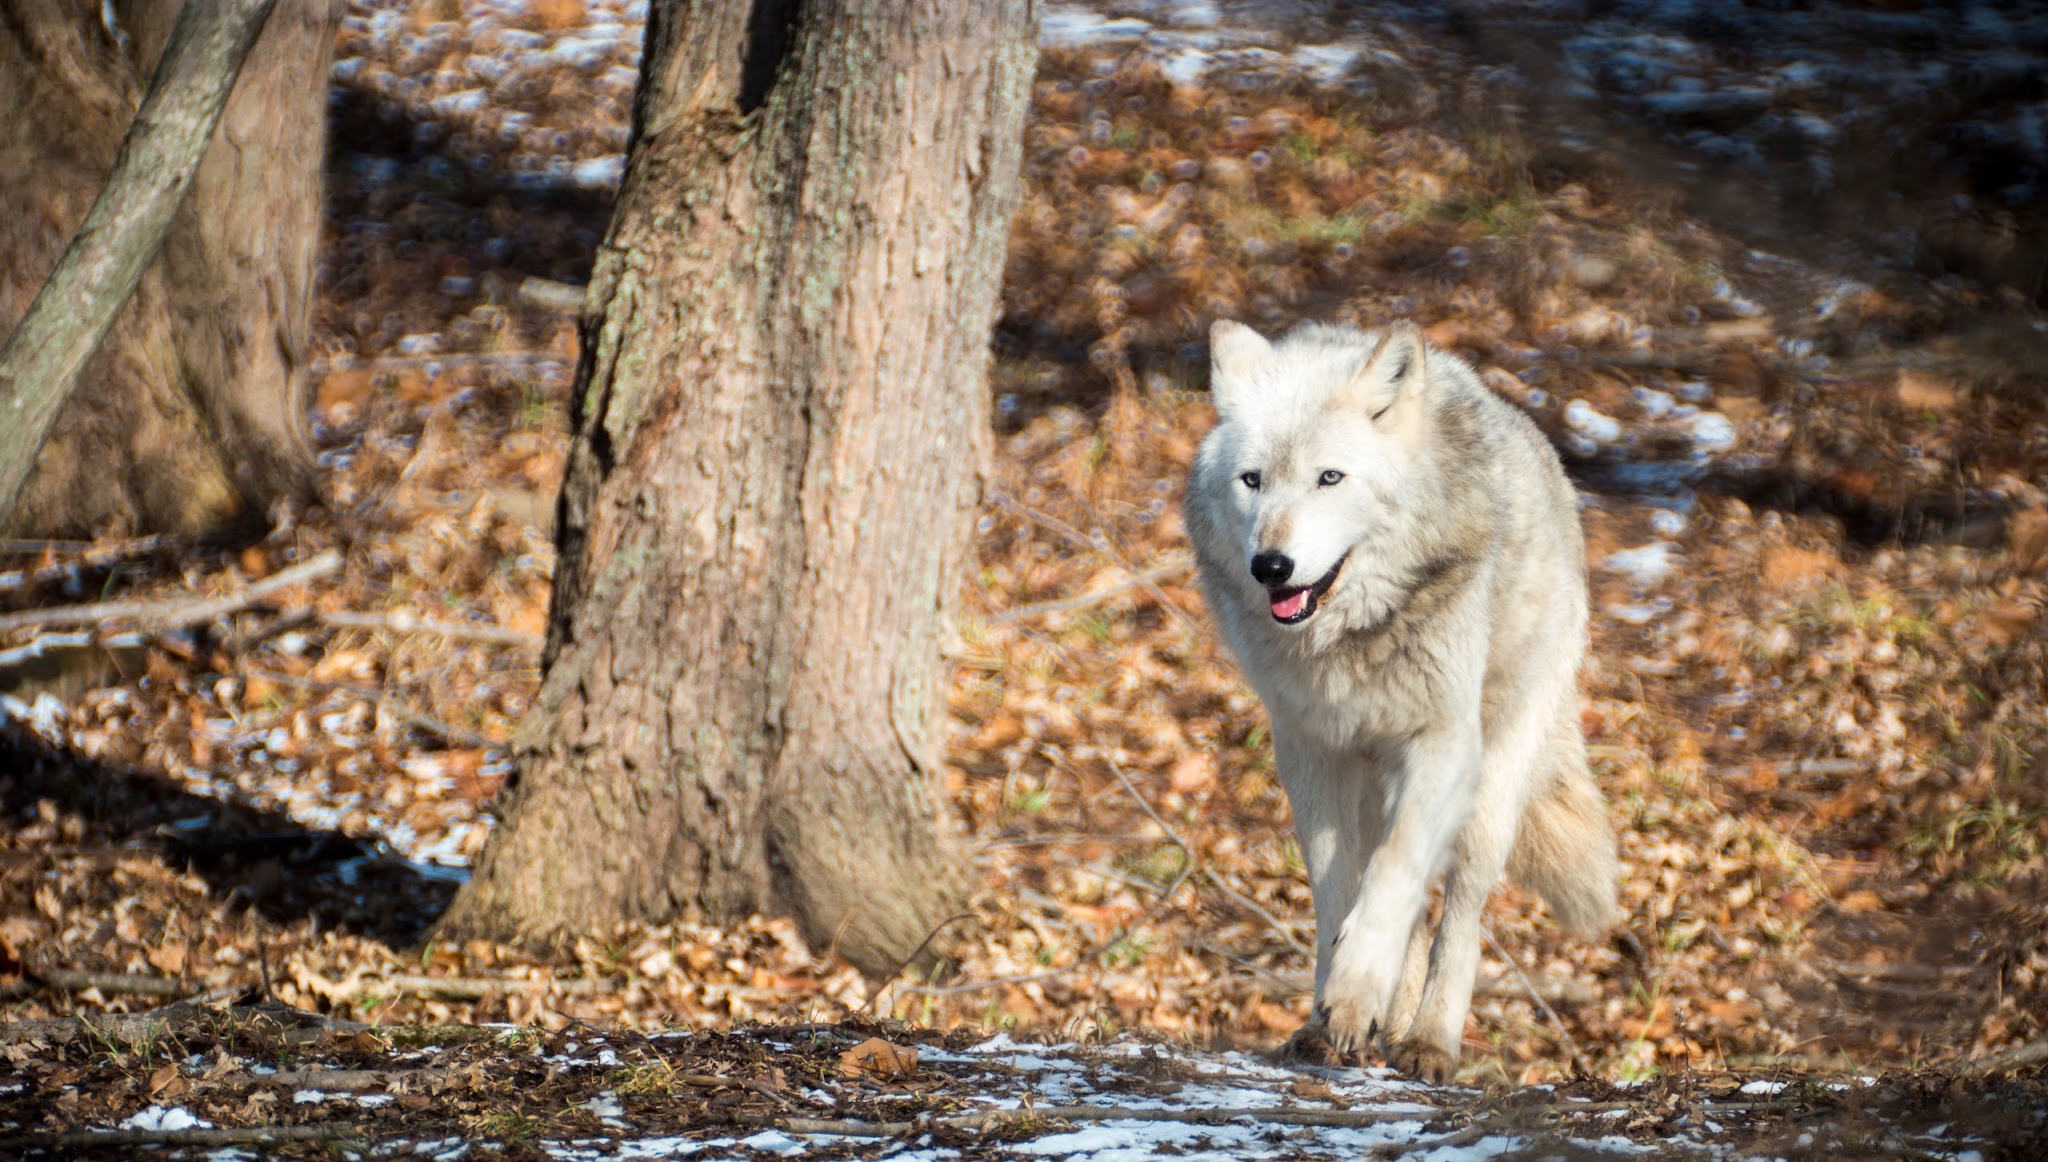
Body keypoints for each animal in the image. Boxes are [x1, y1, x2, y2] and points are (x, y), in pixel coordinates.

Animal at [1187, 315, 1613, 1082]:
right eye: (1252, 480)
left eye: (1330, 477)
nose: (1271, 566)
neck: (1347, 641)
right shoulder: (1310, 749)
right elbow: (1337, 890)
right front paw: (1334, 1014)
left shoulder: (1442, 744)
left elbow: (1393, 876)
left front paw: (1358, 995)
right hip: (1374, 786)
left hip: (1489, 794)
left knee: (1457, 916)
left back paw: (1429, 1039)